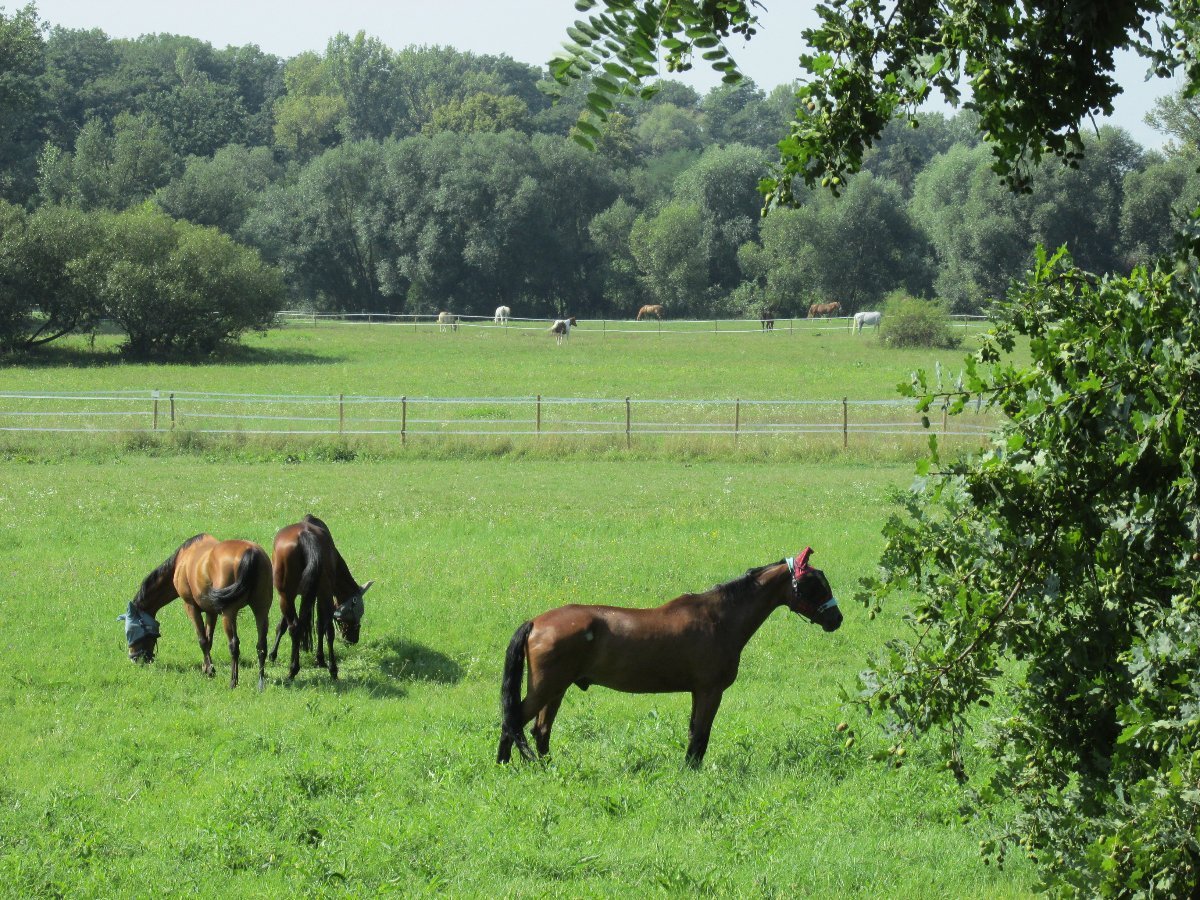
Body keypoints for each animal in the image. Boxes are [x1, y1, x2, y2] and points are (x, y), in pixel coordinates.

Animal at [119, 534, 273, 690]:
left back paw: (233, 682)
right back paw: (260, 682)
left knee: (234, 645)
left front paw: (210, 671)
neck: (182, 561)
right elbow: (209, 640)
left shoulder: (191, 607)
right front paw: (206, 667)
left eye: (131, 630)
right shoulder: (211, 612)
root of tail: (251, 551)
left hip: (229, 613)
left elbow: (202, 640)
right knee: (261, 645)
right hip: (261, 609)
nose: (134, 658)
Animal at [269, 514, 374, 681]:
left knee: (296, 627)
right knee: (327, 629)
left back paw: (294, 669)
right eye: (357, 612)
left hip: (286, 595)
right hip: (322, 592)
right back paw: (332, 669)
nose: (353, 639)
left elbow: (287, 624)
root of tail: (306, 535)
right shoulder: (316, 595)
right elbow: (318, 625)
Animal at [496, 547, 841, 767]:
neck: (720, 618)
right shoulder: (710, 691)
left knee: (540, 730)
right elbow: (700, 735)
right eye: (813, 583)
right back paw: (503, 765)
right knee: (512, 721)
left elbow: (694, 733)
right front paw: (691, 771)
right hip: (546, 688)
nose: (836, 619)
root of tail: (536, 622)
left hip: (556, 690)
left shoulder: (698, 692)